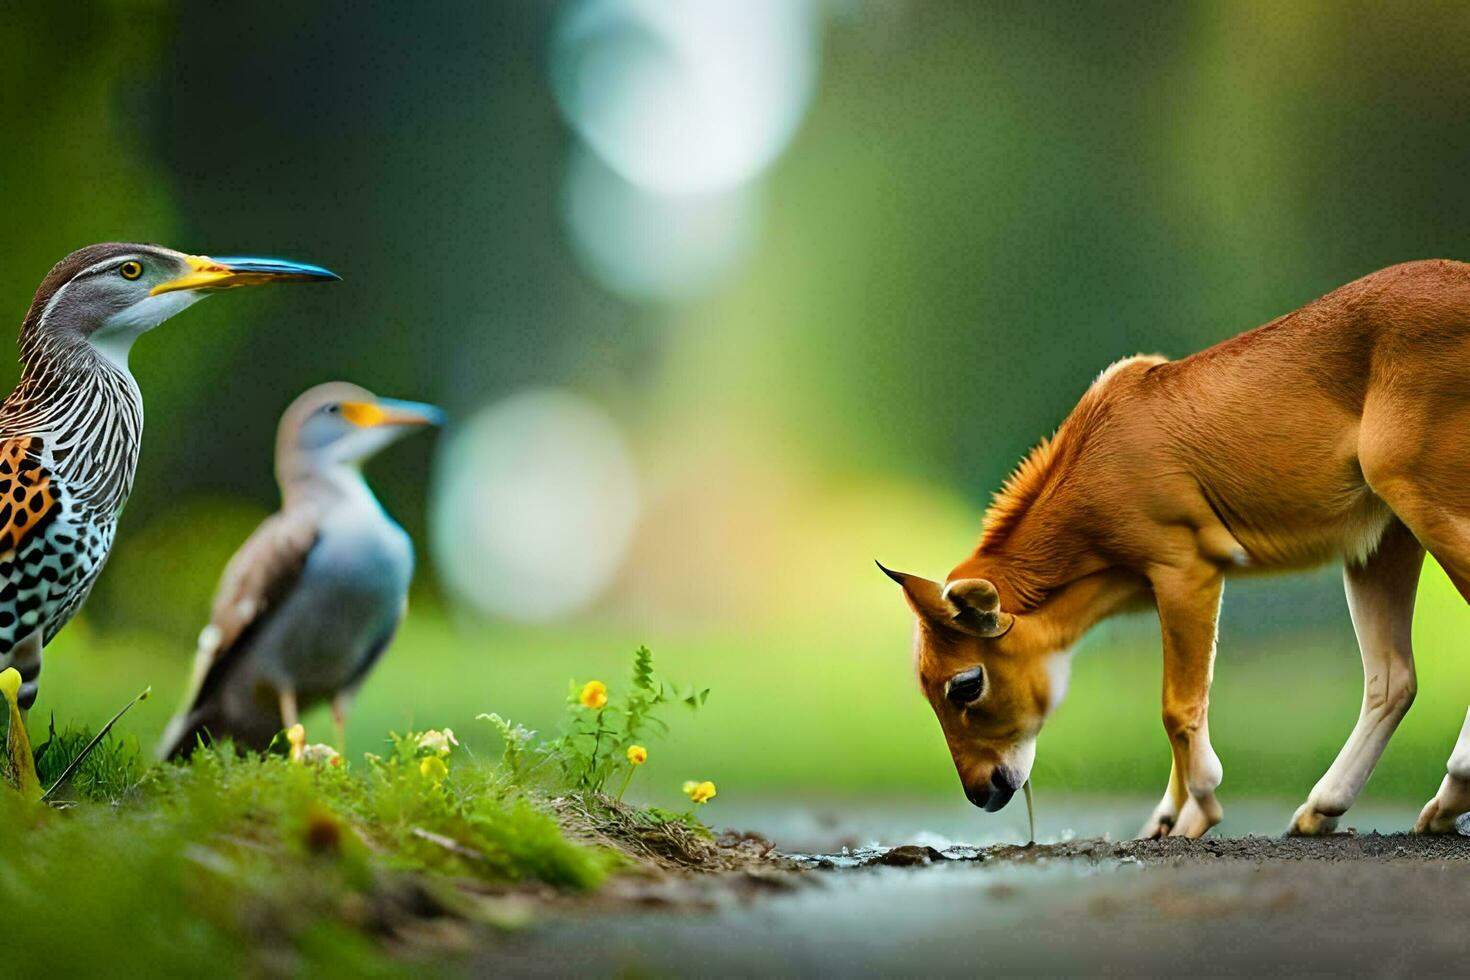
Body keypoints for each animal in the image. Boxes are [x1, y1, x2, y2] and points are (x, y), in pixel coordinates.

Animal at [876, 262, 1470, 846]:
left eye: (966, 684)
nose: (982, 790)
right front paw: (1168, 817)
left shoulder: (1187, 568)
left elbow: (1177, 707)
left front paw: (1201, 808)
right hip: (1385, 538)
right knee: (1392, 679)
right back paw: (1330, 808)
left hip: (1425, 500)